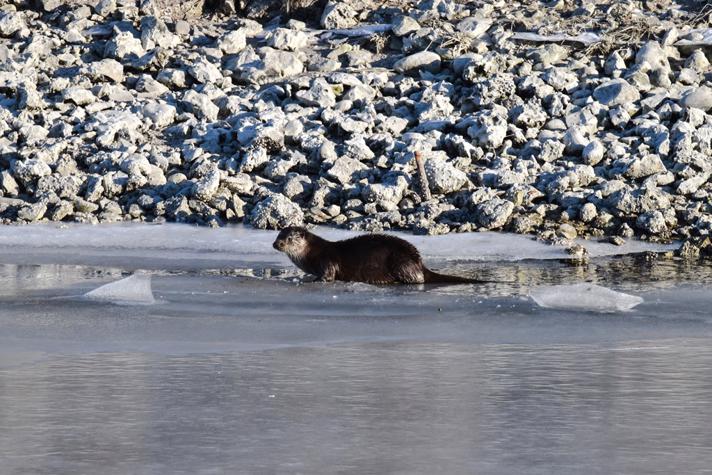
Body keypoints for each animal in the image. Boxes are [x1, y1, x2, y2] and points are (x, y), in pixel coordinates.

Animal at [274, 228, 490, 286]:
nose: (276, 244)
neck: (311, 254)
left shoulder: (326, 260)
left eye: (289, 238)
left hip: (399, 261)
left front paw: (313, 280)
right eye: (278, 235)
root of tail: (419, 262)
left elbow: (328, 275)